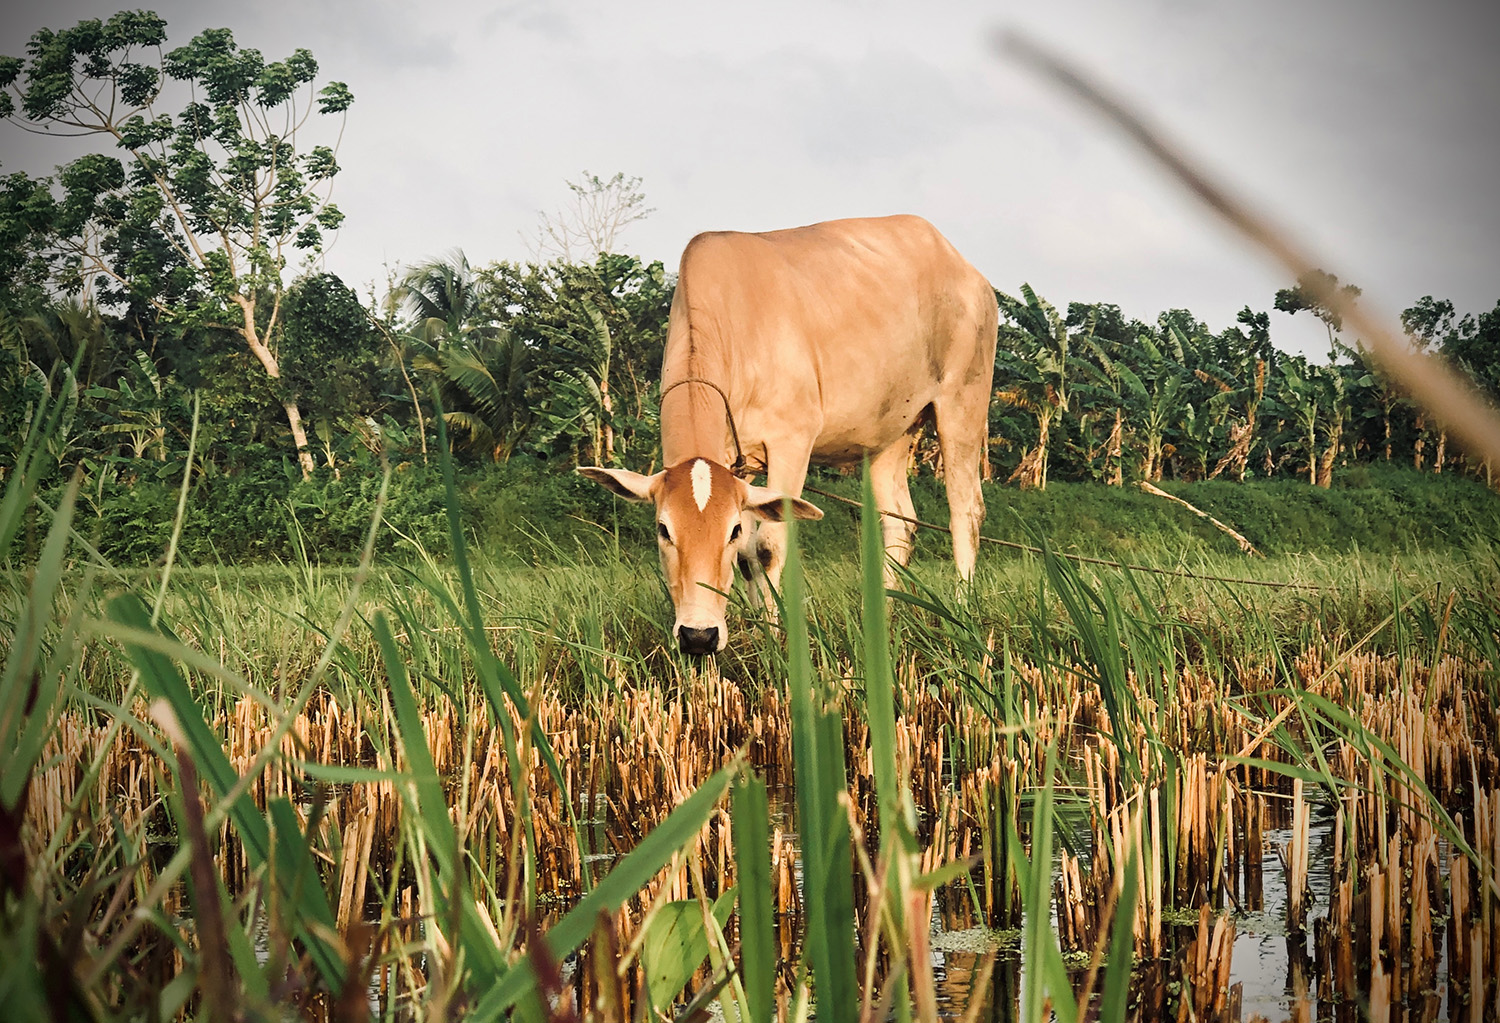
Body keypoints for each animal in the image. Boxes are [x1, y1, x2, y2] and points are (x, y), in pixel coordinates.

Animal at [579, 214, 998, 656]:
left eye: (728, 530)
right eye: (663, 529)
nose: (698, 636)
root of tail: (967, 270)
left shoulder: (792, 441)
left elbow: (767, 545)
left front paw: (776, 635)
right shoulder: (739, 463)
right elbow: (747, 555)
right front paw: (751, 628)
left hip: (962, 404)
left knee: (965, 512)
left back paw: (962, 611)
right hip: (891, 433)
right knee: (899, 523)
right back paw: (884, 616)